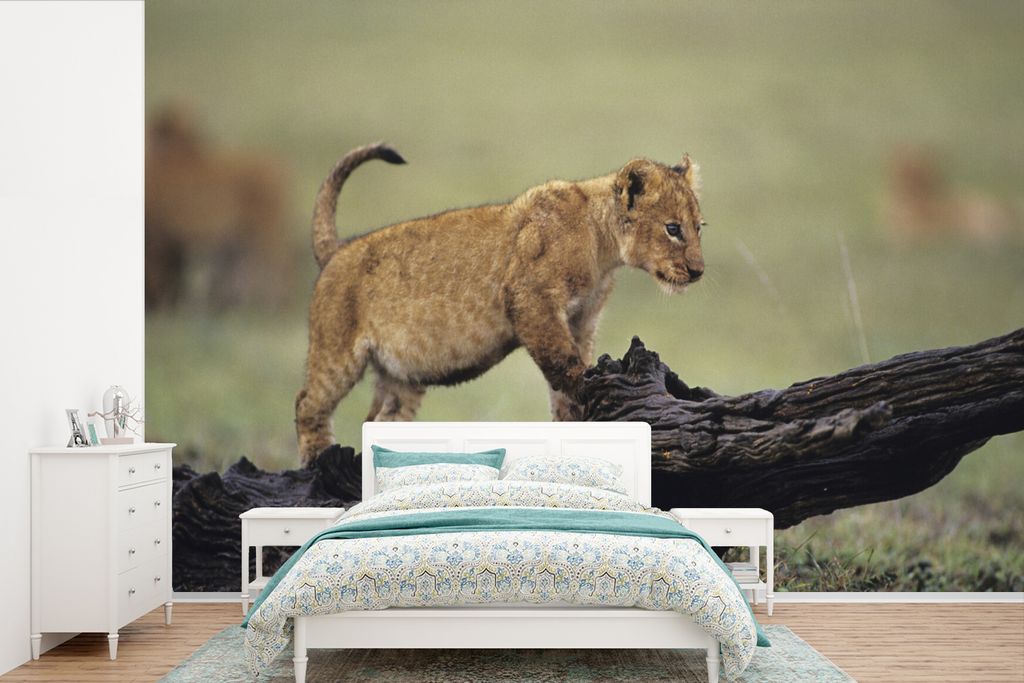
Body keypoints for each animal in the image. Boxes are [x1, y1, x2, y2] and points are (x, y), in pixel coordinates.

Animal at [296, 143, 705, 463]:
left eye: (699, 227)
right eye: (672, 229)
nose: (698, 271)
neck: (602, 246)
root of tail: (338, 249)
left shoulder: (581, 321)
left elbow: (565, 384)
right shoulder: (532, 301)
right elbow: (564, 366)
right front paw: (588, 393)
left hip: (400, 376)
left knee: (379, 420)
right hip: (336, 351)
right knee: (307, 405)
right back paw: (318, 460)